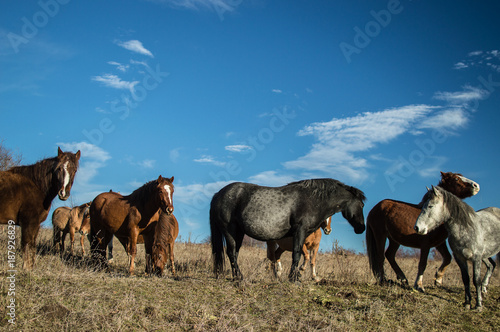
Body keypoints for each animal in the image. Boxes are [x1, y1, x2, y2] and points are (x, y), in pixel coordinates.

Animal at [209, 178, 366, 282]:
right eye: (361, 205)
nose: (361, 228)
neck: (312, 199)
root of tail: (218, 194)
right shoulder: (300, 232)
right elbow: (297, 254)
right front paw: (294, 278)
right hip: (230, 231)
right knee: (231, 253)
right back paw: (240, 278)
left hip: (239, 233)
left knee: (235, 253)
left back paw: (237, 277)